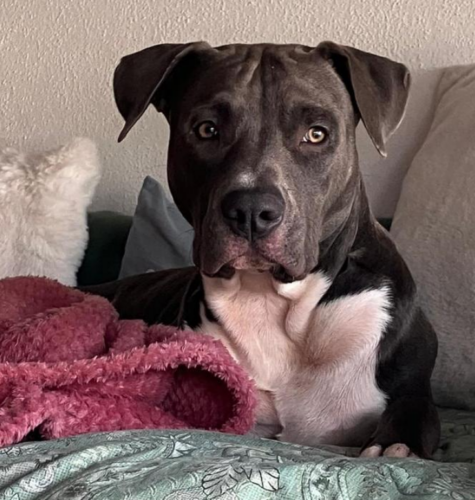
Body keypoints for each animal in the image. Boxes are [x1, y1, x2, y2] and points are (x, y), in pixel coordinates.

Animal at [85, 41, 440, 458]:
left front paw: (393, 447)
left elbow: (408, 418)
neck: (271, 302)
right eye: (207, 129)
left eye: (316, 134)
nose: (251, 209)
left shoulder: (412, 386)